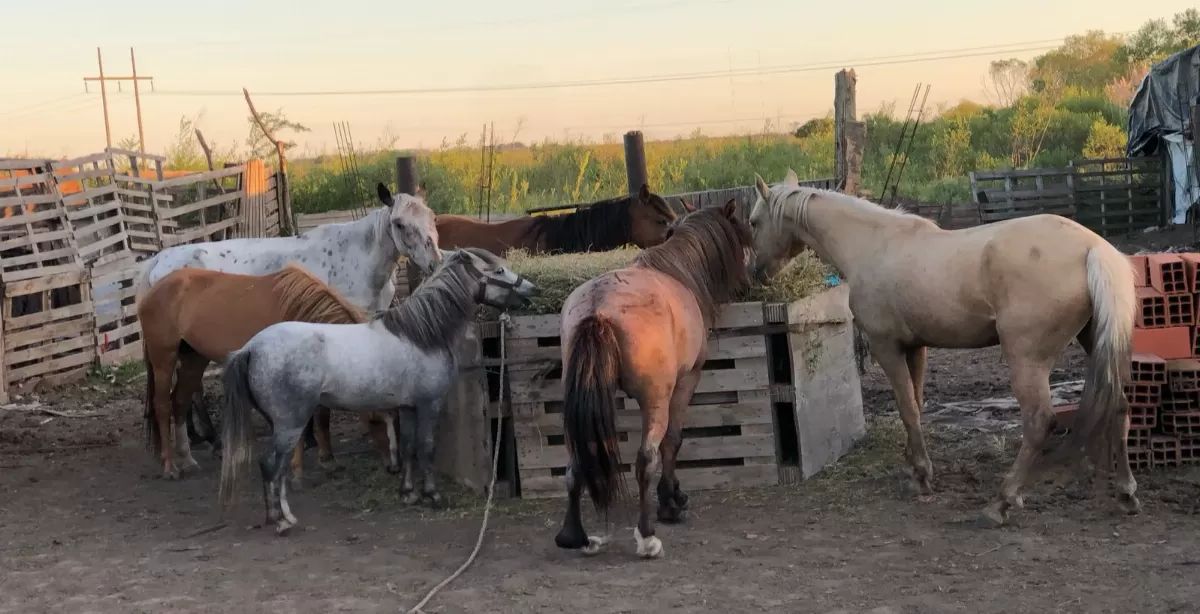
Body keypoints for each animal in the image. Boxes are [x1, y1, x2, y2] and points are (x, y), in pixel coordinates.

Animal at [135, 263, 398, 484]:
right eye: (374, 420)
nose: (393, 467)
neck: (298, 311)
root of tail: (152, 289)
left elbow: (322, 415)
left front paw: (328, 460)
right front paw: (295, 469)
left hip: (193, 358)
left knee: (179, 401)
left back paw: (188, 459)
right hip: (164, 358)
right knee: (163, 406)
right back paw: (170, 466)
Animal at [219, 247, 540, 534]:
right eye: (498, 271)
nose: (532, 289)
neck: (421, 335)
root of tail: (251, 348)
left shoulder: (407, 407)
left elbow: (409, 446)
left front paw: (409, 493)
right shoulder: (429, 404)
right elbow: (426, 447)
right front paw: (433, 495)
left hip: (283, 424)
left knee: (280, 467)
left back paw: (283, 516)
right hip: (290, 423)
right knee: (270, 465)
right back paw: (281, 521)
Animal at [552, 201, 748, 561]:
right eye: (741, 236)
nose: (747, 283)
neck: (679, 271)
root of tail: (598, 309)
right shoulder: (685, 382)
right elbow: (673, 441)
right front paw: (671, 501)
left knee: (577, 462)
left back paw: (575, 536)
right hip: (654, 399)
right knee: (645, 460)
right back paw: (646, 537)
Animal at [748, 170, 1132, 525]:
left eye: (753, 222)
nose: (755, 274)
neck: (874, 244)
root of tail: (1091, 248)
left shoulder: (886, 348)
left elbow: (907, 408)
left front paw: (920, 474)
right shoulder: (915, 348)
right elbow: (916, 404)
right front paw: (912, 467)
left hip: (1026, 360)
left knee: (1039, 423)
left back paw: (1002, 502)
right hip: (1095, 343)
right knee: (1120, 406)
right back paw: (1126, 491)